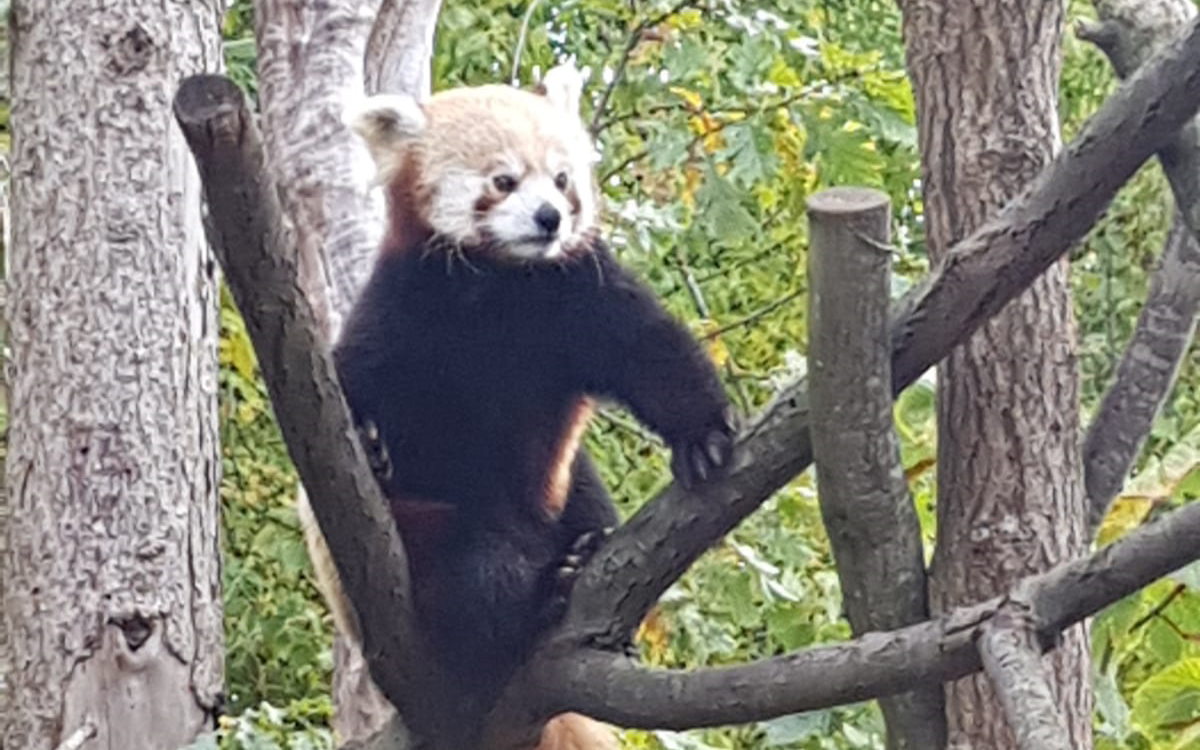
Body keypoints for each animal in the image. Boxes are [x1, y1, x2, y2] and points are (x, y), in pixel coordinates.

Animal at [304, 65, 734, 748]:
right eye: (502, 180)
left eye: (561, 179)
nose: (549, 217)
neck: (500, 284)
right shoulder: (404, 304)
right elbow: (356, 387)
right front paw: (369, 441)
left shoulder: (575, 291)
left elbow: (645, 347)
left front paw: (703, 434)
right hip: (424, 547)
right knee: (479, 573)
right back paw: (537, 599)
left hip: (565, 482)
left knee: (585, 498)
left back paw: (581, 563)